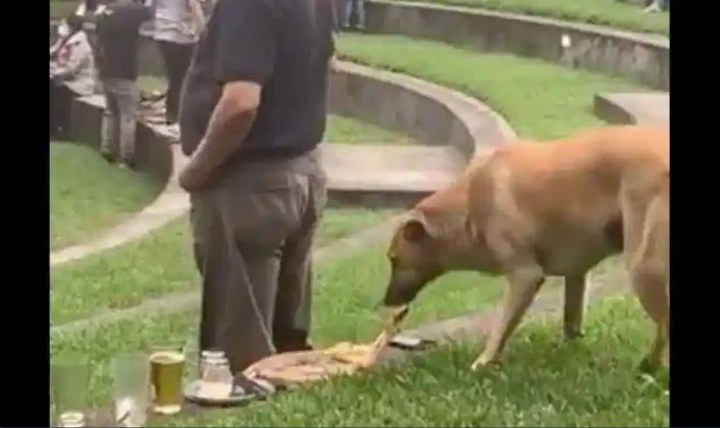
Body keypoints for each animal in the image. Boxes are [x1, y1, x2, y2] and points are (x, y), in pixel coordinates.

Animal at [382, 125, 668, 372]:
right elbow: (571, 319)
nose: (385, 301)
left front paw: (485, 361)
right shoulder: (576, 272)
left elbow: (501, 327)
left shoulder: (525, 276)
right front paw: (571, 349)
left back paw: (650, 365)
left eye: (394, 259)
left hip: (643, 267)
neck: (467, 207)